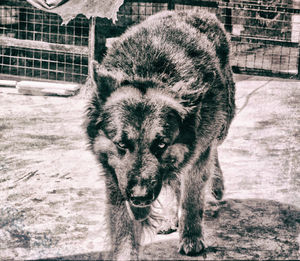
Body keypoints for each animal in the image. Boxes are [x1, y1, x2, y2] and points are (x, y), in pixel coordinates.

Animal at [84, 9, 234, 258]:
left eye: (161, 144)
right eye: (121, 144)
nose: (140, 197)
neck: (148, 72)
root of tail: (195, 11)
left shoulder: (198, 153)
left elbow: (192, 199)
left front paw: (191, 237)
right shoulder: (115, 176)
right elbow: (124, 230)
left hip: (222, 125)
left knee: (212, 154)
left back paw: (217, 186)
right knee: (174, 182)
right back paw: (171, 217)